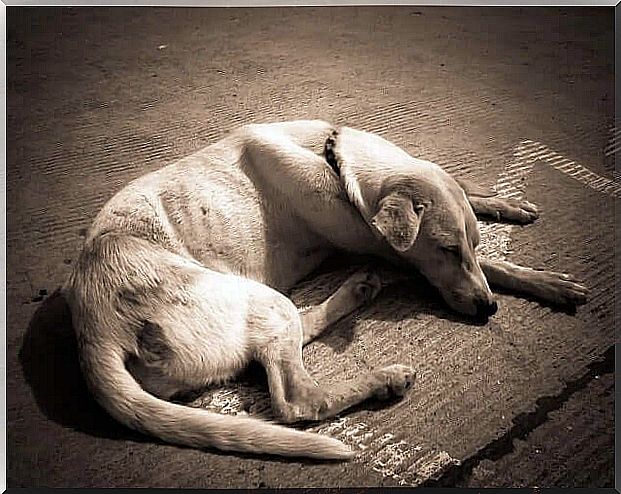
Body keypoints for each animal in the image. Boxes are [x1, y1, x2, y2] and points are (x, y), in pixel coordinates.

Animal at [61, 119, 588, 460]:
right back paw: (382, 376)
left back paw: (356, 292)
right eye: (445, 249)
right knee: (299, 399)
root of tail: (95, 332)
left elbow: (466, 190)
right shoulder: (391, 250)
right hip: (258, 300)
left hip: (256, 303)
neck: (335, 160)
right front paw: (542, 281)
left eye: (471, 244)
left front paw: (504, 204)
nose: (488, 310)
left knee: (290, 338)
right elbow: (492, 267)